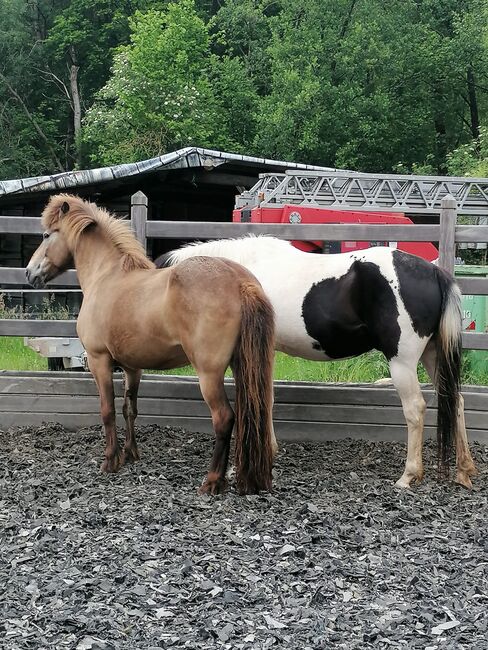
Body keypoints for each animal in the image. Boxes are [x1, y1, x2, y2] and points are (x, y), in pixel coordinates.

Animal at [26, 195, 276, 494]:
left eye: (46, 235)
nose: (29, 273)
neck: (107, 277)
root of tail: (241, 282)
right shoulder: (133, 368)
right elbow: (129, 409)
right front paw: (130, 453)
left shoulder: (99, 361)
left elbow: (108, 410)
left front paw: (110, 461)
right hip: (243, 367)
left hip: (209, 373)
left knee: (224, 418)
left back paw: (213, 481)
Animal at [158, 234, 478, 486]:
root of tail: (435, 272)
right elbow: (268, 397)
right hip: (432, 356)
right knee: (456, 401)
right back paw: (464, 469)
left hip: (403, 362)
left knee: (415, 408)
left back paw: (409, 475)